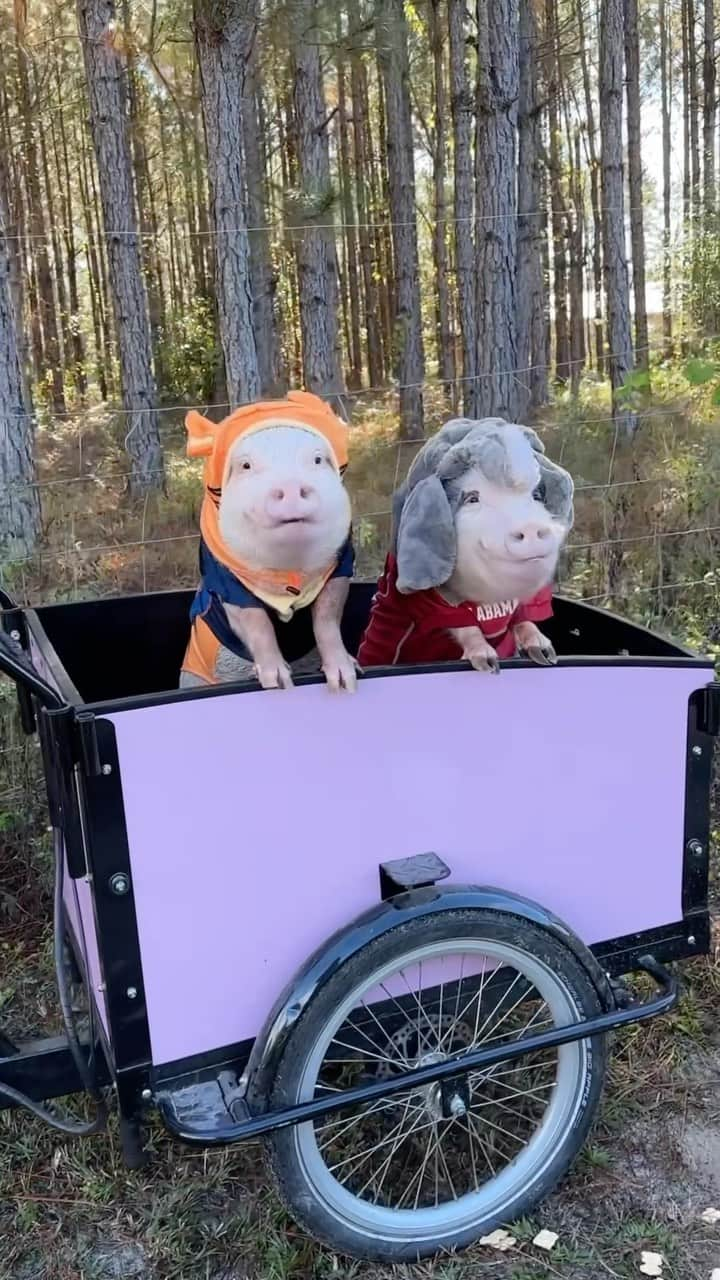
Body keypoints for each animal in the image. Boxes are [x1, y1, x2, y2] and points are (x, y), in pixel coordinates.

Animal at [179, 391, 358, 696]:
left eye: (318, 459)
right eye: (245, 465)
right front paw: (278, 683)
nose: (290, 485)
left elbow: (327, 617)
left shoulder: (342, 561)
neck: (289, 571)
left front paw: (347, 680)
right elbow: (256, 621)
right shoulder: (223, 577)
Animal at [353, 417, 571, 680]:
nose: (530, 526)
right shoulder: (432, 597)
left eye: (536, 494)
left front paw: (546, 654)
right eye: (472, 498)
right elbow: (462, 624)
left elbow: (524, 617)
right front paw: (490, 665)